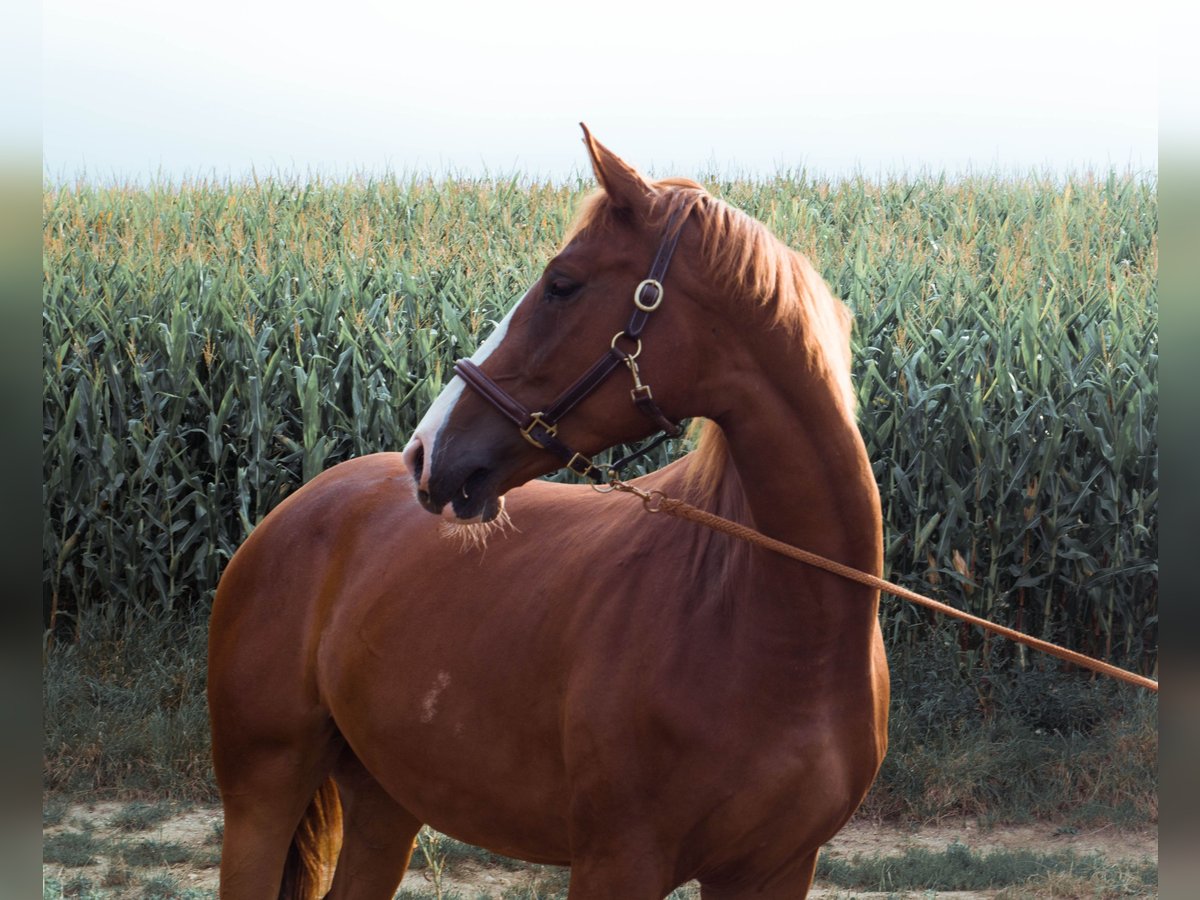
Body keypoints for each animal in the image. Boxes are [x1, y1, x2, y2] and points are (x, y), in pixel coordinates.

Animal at [206, 128, 888, 900]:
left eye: (562, 283)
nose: (425, 452)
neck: (784, 634)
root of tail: (285, 517)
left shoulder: (774, 870)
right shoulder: (617, 863)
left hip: (385, 800)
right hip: (262, 796)